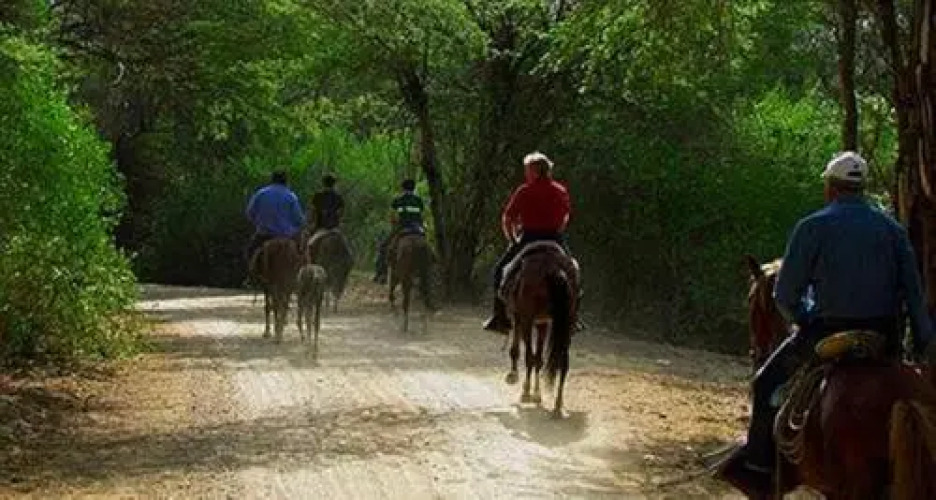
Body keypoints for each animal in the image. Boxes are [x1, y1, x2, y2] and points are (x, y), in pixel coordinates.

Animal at [502, 245, 576, 418]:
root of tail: (556, 270)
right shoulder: (543, 323)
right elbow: (540, 358)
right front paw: (537, 394)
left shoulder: (520, 318)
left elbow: (519, 351)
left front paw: (516, 379)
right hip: (566, 325)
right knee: (563, 362)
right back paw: (558, 406)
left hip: (527, 320)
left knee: (529, 356)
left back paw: (526, 393)